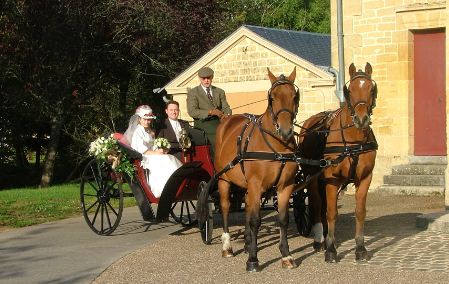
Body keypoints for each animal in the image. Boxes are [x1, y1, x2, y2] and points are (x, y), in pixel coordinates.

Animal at [210, 67, 298, 272]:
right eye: (272, 97)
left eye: (294, 96)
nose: (286, 131)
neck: (277, 146)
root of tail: (227, 119)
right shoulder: (256, 185)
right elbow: (256, 220)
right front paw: (252, 259)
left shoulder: (285, 186)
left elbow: (283, 219)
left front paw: (286, 255)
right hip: (223, 180)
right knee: (225, 207)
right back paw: (227, 246)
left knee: (247, 207)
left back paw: (248, 241)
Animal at [298, 63, 378, 262]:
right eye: (350, 90)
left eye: (371, 89)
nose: (361, 119)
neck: (353, 141)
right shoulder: (332, 179)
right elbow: (332, 212)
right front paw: (331, 249)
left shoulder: (365, 177)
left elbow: (360, 211)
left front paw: (360, 248)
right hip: (311, 176)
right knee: (317, 204)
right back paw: (319, 240)